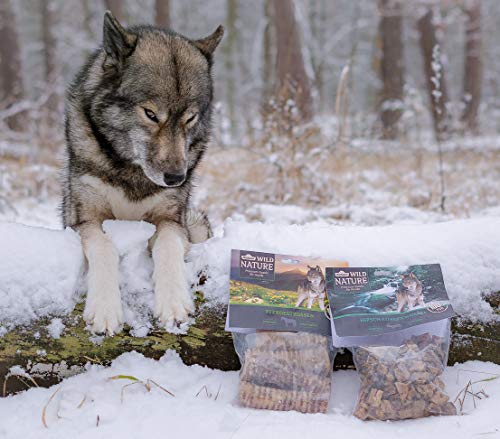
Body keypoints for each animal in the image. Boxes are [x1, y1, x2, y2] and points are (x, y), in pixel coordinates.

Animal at [60, 11, 223, 334]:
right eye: (150, 114)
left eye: (190, 118)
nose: (176, 178)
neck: (131, 172)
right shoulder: (83, 220)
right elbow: (104, 246)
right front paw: (105, 309)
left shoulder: (172, 221)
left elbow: (168, 245)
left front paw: (173, 303)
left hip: (196, 222)